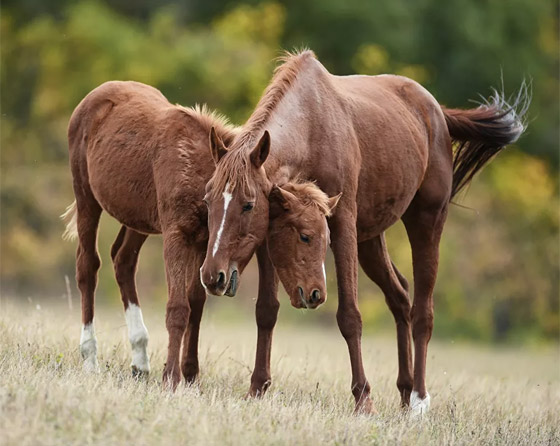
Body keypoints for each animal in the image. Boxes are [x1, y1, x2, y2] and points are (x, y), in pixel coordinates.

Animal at [63, 82, 340, 388]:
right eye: (304, 236)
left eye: (327, 240)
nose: (316, 293)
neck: (194, 167)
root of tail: (96, 95)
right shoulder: (177, 238)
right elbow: (178, 308)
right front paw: (171, 377)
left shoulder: (204, 246)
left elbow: (195, 304)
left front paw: (190, 374)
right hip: (86, 199)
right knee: (88, 267)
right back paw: (90, 358)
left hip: (138, 221)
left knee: (123, 261)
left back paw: (140, 359)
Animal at [201, 51, 528, 414]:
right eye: (208, 200)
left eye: (247, 204)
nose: (212, 275)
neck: (313, 126)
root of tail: (437, 112)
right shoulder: (267, 236)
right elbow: (266, 311)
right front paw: (257, 388)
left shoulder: (342, 224)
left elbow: (349, 315)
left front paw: (363, 398)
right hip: (371, 240)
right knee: (400, 296)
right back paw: (404, 392)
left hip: (427, 221)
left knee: (423, 311)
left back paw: (419, 400)